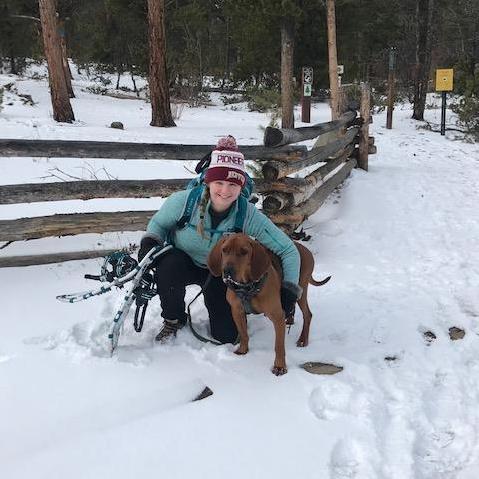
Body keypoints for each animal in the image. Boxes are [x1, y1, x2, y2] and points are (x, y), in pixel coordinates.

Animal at [208, 234, 332, 376]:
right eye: (224, 250)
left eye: (244, 252)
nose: (227, 271)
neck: (247, 287)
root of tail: (306, 250)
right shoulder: (237, 311)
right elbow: (244, 334)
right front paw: (243, 350)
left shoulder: (277, 316)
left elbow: (279, 345)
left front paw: (279, 366)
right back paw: (290, 319)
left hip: (301, 289)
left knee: (308, 314)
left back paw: (302, 339)